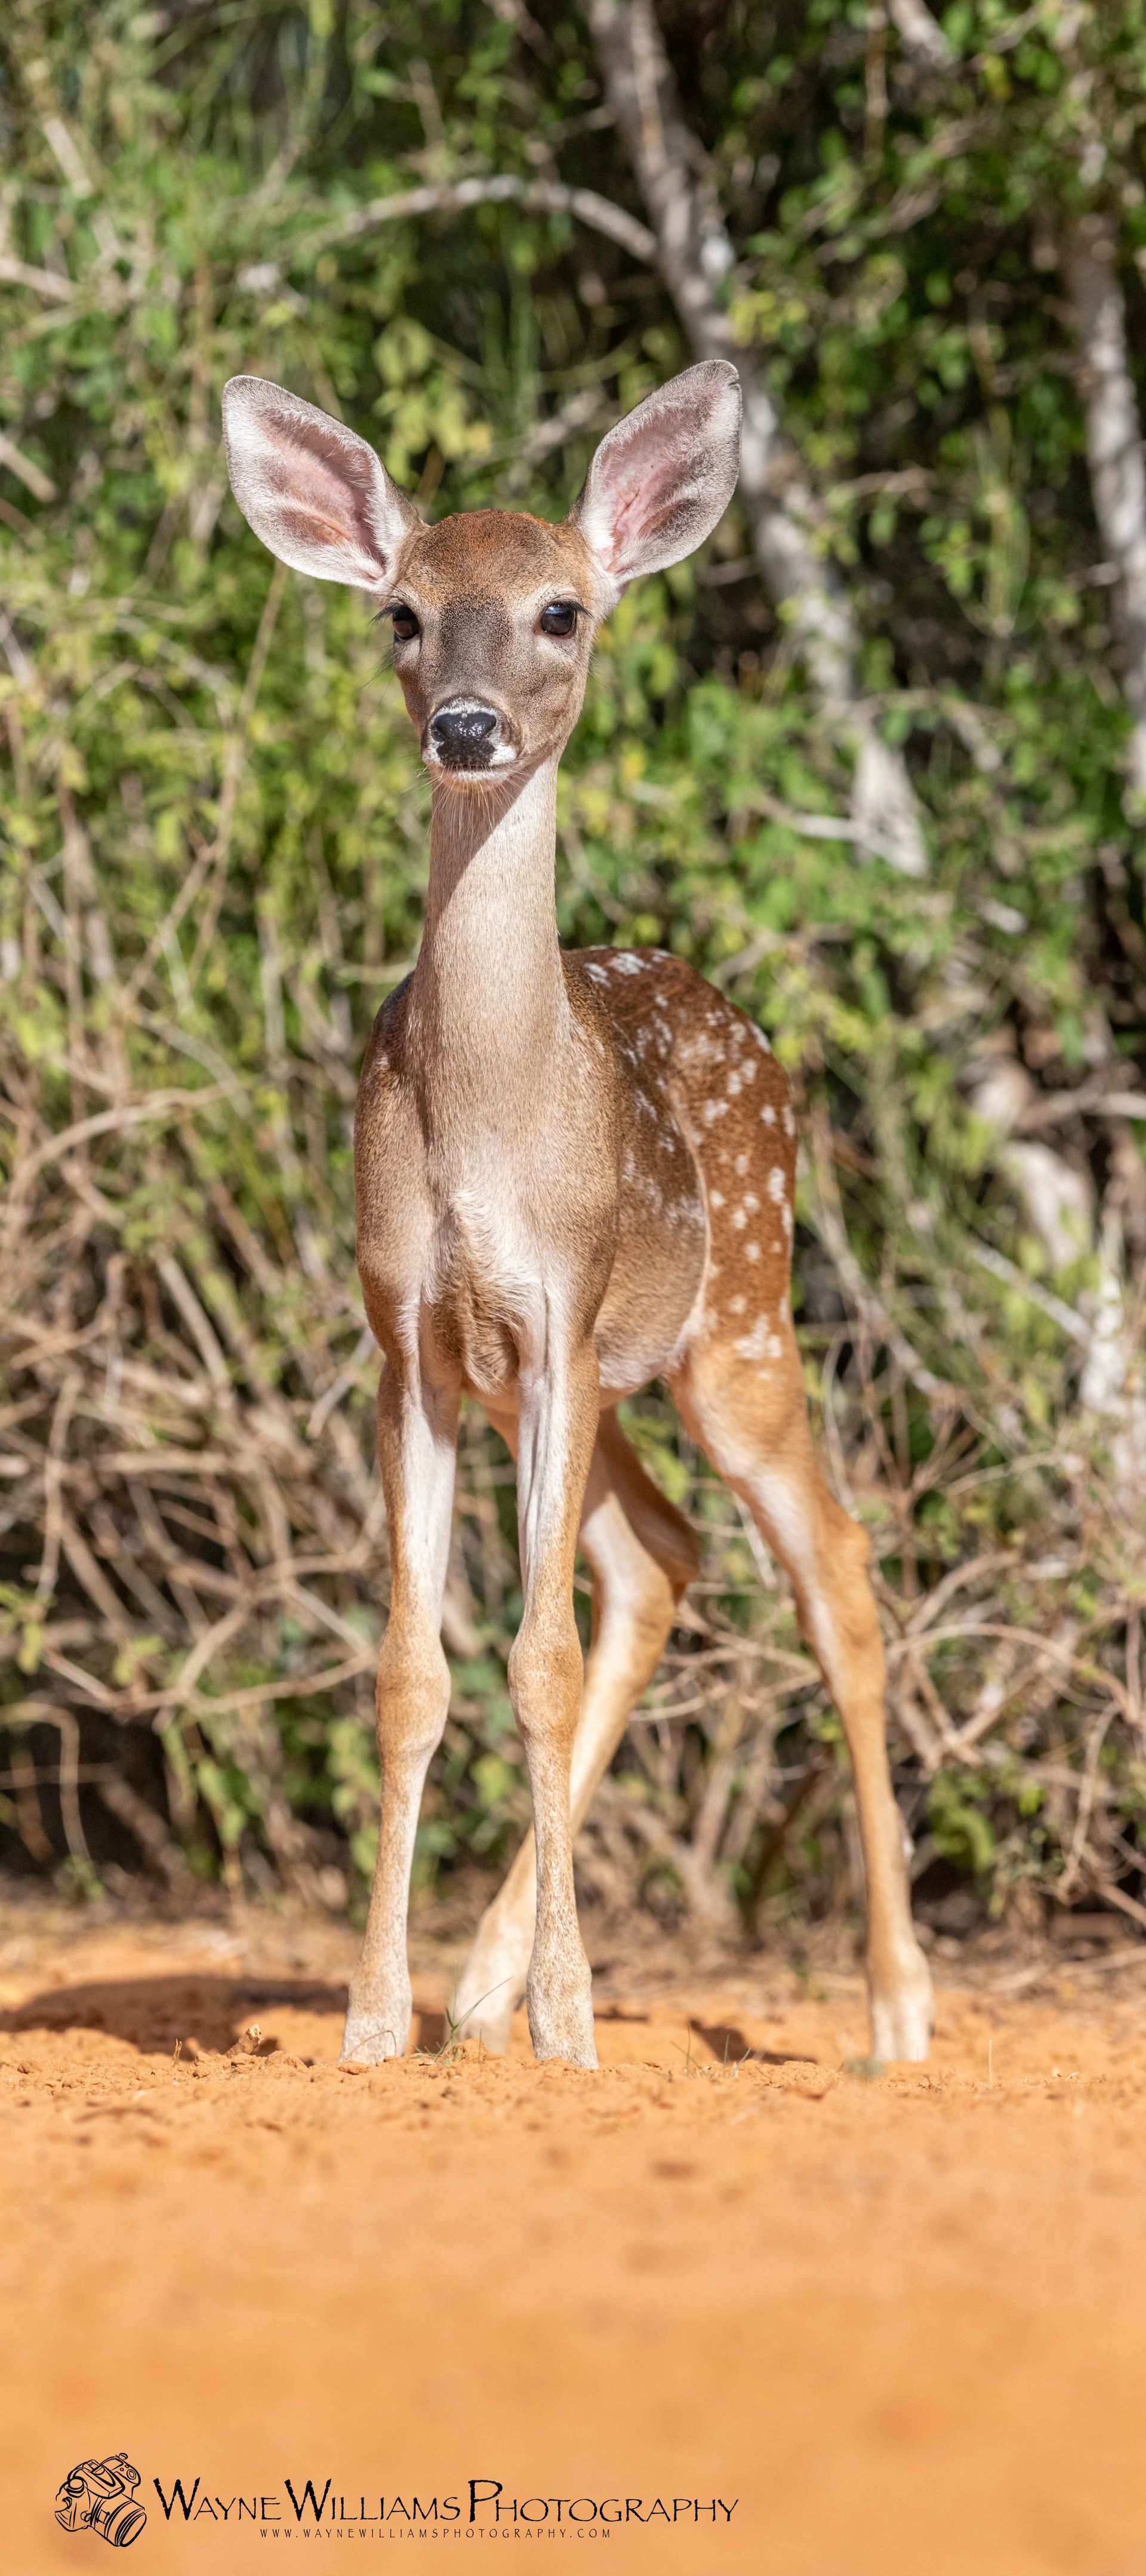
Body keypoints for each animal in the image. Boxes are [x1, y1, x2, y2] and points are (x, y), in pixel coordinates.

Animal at [221, 358, 934, 2072]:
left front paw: (574, 2024)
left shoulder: (556, 1314)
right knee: (660, 1555)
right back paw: (479, 1990)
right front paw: (375, 2021)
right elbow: (412, 1672)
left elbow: (532, 1661)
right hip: (587, 1380)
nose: (469, 726)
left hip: (734, 1322)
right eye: (403, 613)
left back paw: (894, 2007)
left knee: (836, 1563)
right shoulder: (415, 1335)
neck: (490, 1122)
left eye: (560, 609)